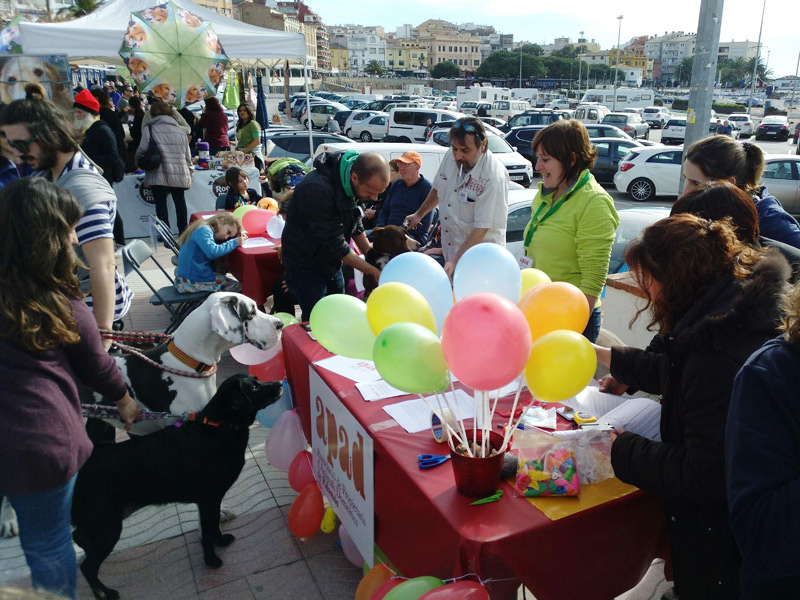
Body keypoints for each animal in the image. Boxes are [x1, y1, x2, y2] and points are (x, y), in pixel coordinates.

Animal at [72, 372, 284, 596]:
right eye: (254, 387)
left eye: (257, 379)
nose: (280, 383)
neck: (218, 427)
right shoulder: (208, 498)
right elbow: (207, 532)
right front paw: (211, 559)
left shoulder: (212, 499)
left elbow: (213, 525)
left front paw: (220, 540)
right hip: (107, 525)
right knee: (88, 567)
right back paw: (104, 593)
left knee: (78, 537)